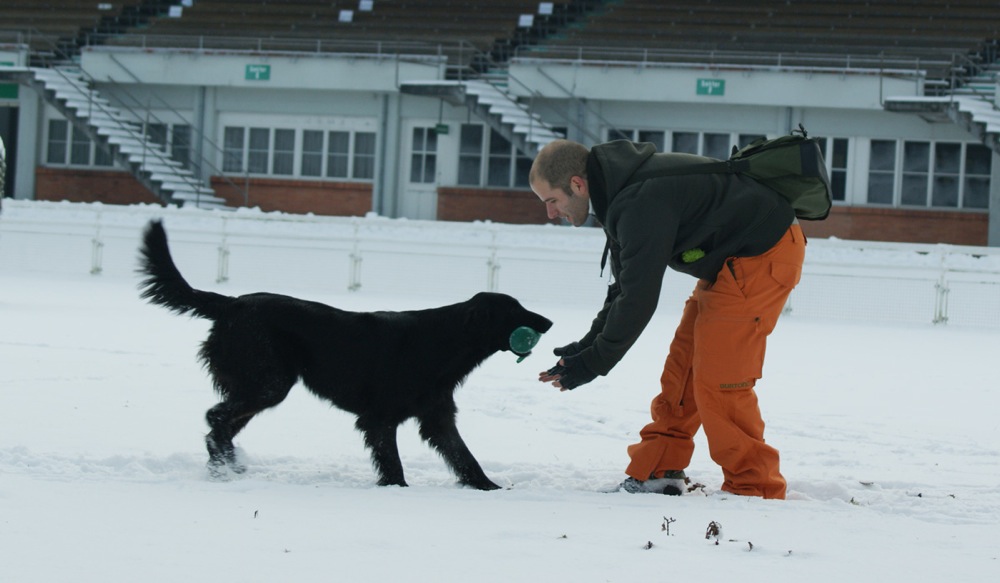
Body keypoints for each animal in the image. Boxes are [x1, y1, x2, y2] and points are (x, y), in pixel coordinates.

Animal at [137, 221, 552, 490]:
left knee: (217, 425)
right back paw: (228, 467)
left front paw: (489, 488)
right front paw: (396, 489)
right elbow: (393, 463)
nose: (548, 322)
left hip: (257, 385)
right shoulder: (380, 418)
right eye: (514, 310)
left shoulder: (437, 417)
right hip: (269, 382)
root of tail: (231, 304)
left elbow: (464, 457)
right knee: (215, 417)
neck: (442, 343)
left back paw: (224, 470)